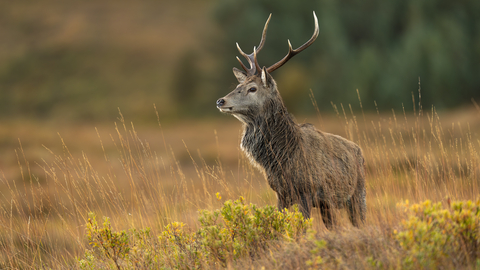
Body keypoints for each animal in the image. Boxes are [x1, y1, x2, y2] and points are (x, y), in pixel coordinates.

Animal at [216, 11, 366, 229]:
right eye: (238, 85)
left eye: (252, 88)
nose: (220, 100)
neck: (282, 158)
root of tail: (359, 151)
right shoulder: (281, 194)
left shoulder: (306, 191)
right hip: (328, 204)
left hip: (358, 194)